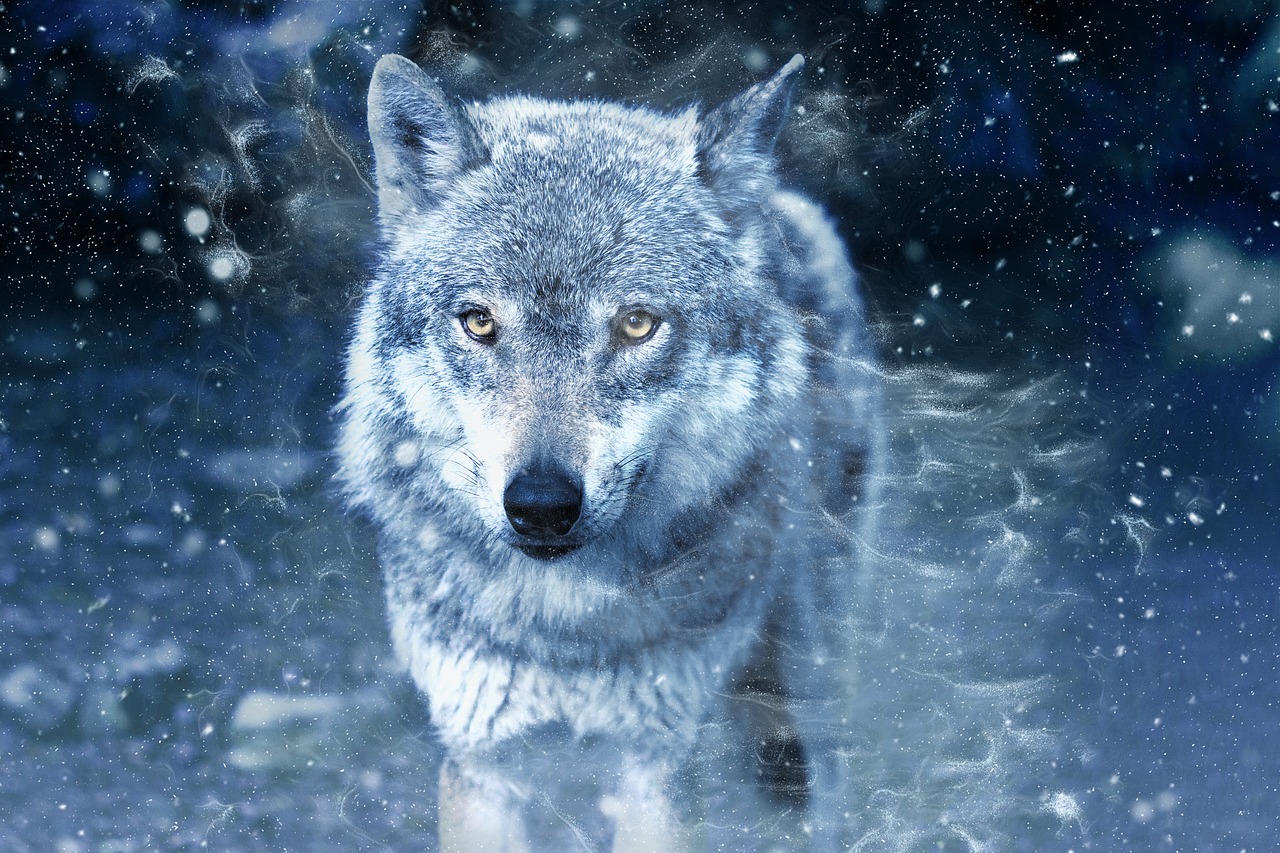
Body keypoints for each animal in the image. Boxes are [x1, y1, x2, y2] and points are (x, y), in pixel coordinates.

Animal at [338, 52, 884, 851]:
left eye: (635, 324)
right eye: (478, 322)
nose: (540, 505)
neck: (563, 629)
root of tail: (780, 204)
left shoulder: (657, 765)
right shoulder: (482, 759)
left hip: (801, 677)